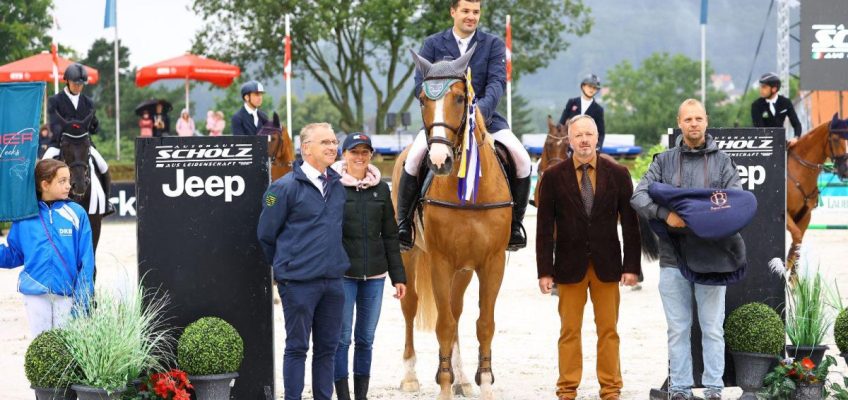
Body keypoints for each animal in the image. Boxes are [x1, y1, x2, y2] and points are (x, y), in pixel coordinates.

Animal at [392, 45, 510, 398]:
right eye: (421, 99)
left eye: (460, 97)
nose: (439, 161)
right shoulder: (440, 261)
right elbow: (442, 324)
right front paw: (443, 385)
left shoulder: (491, 262)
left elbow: (484, 324)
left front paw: (483, 383)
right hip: (410, 254)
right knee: (412, 307)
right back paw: (411, 376)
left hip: (464, 269)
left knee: (456, 312)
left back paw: (464, 379)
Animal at [784, 114, 848, 274]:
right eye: (835, 138)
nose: (845, 171)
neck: (799, 172)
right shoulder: (785, 215)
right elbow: (796, 239)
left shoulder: (805, 216)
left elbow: (796, 246)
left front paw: (793, 280)